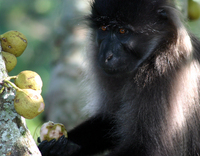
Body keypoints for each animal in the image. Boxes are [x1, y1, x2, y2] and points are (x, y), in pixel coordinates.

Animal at [38, 0, 200, 155]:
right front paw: (63, 147)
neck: (154, 53)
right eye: (103, 28)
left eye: (122, 31)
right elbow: (110, 121)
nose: (106, 55)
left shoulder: (162, 74)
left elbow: (145, 148)